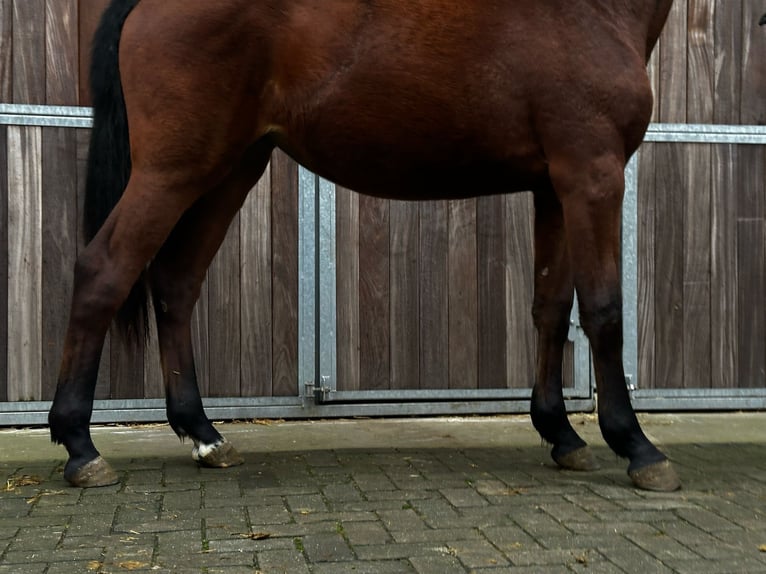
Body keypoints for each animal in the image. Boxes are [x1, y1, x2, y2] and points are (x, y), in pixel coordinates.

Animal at [49, 0, 680, 492]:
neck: (589, 11)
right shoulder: (592, 175)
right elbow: (604, 310)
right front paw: (637, 447)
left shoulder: (554, 187)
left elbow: (550, 308)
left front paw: (562, 435)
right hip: (171, 171)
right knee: (104, 270)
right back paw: (82, 448)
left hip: (231, 170)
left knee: (176, 283)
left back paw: (205, 436)